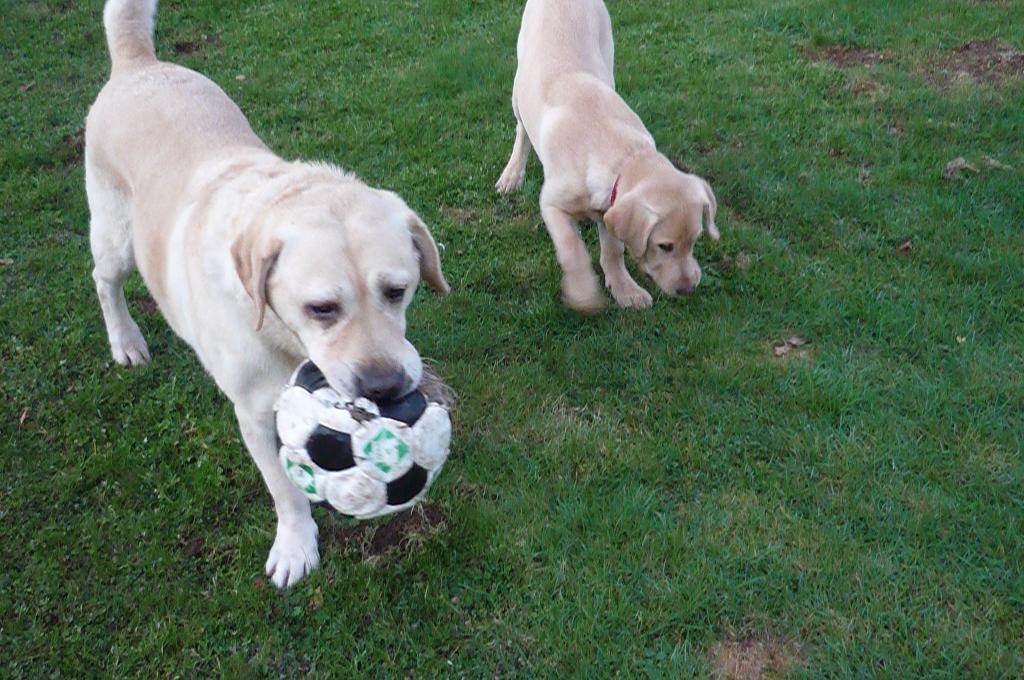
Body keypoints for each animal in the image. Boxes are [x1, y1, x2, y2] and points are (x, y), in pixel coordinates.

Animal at [90, 0, 450, 585]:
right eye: (321, 309)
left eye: (398, 290)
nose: (385, 388)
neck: (285, 341)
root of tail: (138, 64)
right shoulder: (256, 413)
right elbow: (284, 487)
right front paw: (296, 545)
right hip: (115, 237)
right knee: (105, 281)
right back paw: (125, 339)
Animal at [495, 0, 720, 311]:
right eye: (664, 246)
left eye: (696, 240)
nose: (688, 289)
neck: (624, 155)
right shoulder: (551, 204)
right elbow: (572, 248)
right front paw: (583, 293)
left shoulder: (609, 207)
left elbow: (613, 249)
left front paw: (625, 289)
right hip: (519, 84)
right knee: (522, 130)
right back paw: (512, 175)